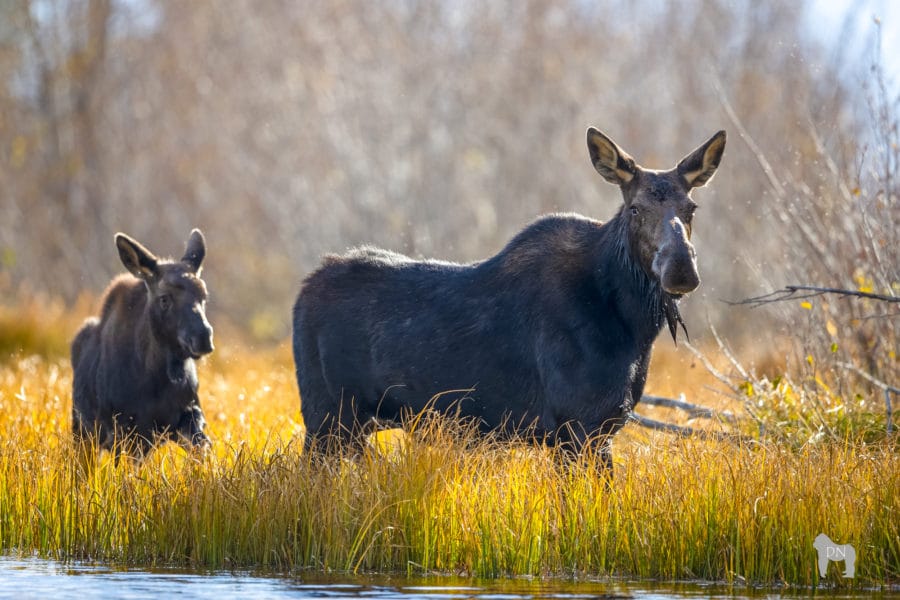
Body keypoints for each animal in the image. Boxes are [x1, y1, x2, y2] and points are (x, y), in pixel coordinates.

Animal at [72, 231, 214, 460]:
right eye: (164, 298)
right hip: (83, 431)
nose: (202, 337)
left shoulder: (188, 415)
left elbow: (202, 447)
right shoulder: (123, 430)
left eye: (203, 297)